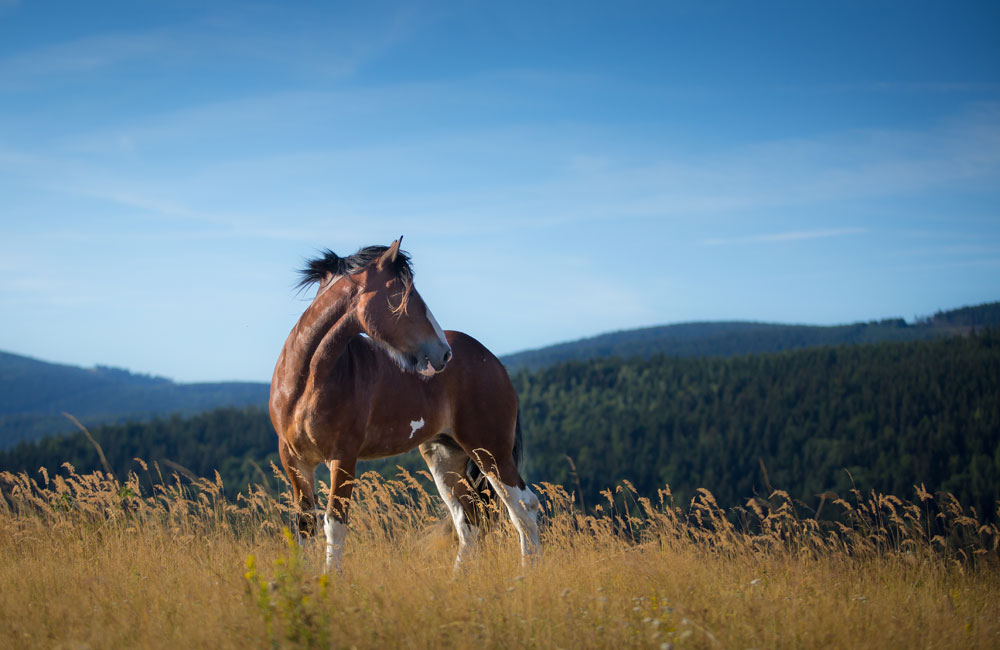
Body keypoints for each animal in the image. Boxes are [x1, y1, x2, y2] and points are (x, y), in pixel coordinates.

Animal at [268, 237, 540, 568]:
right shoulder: (294, 461)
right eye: (402, 293)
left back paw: (527, 572)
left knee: (523, 508)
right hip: (444, 455)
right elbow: (305, 526)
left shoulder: (342, 457)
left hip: (490, 450)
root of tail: (494, 362)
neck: (306, 383)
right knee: (469, 520)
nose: (443, 353)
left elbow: (334, 525)